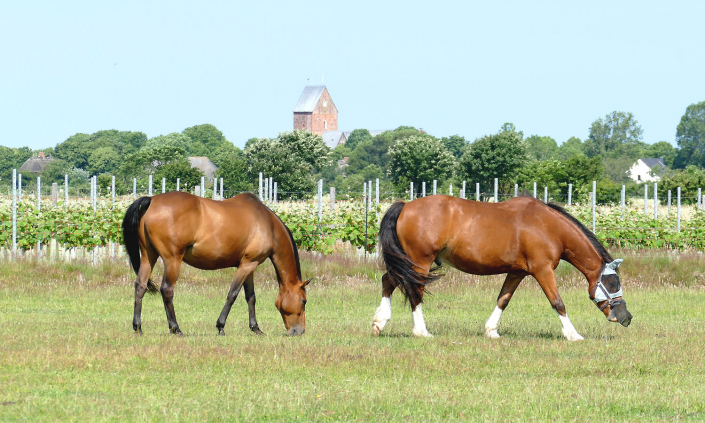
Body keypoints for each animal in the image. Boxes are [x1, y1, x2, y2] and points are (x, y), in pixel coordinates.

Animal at [122, 193, 310, 338]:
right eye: (304, 301)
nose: (299, 331)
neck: (267, 224)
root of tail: (152, 200)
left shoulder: (249, 265)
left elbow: (251, 297)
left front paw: (256, 329)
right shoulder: (247, 265)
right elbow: (232, 294)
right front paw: (221, 327)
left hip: (149, 256)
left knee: (140, 286)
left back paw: (138, 327)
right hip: (172, 259)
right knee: (167, 290)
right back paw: (176, 329)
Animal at [374, 196, 632, 342]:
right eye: (613, 283)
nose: (626, 317)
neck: (549, 227)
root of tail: (405, 205)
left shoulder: (517, 272)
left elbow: (503, 299)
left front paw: (491, 331)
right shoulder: (543, 271)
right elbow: (558, 302)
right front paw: (573, 335)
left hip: (408, 263)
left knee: (388, 281)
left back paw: (379, 322)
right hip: (420, 262)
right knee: (414, 291)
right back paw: (421, 331)